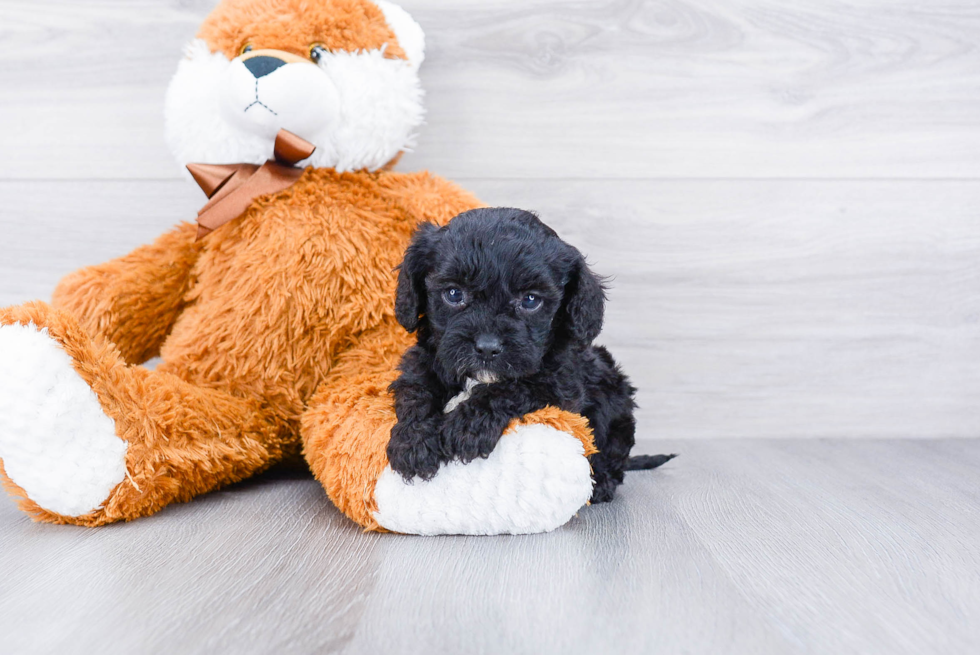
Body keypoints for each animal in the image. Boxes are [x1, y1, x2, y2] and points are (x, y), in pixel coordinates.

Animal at [386, 209, 676, 502]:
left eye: (530, 300)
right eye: (454, 293)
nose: (487, 347)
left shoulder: (560, 386)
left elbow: (512, 388)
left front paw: (466, 427)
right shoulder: (424, 361)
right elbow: (417, 389)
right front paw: (414, 441)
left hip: (616, 402)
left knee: (613, 457)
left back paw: (601, 485)